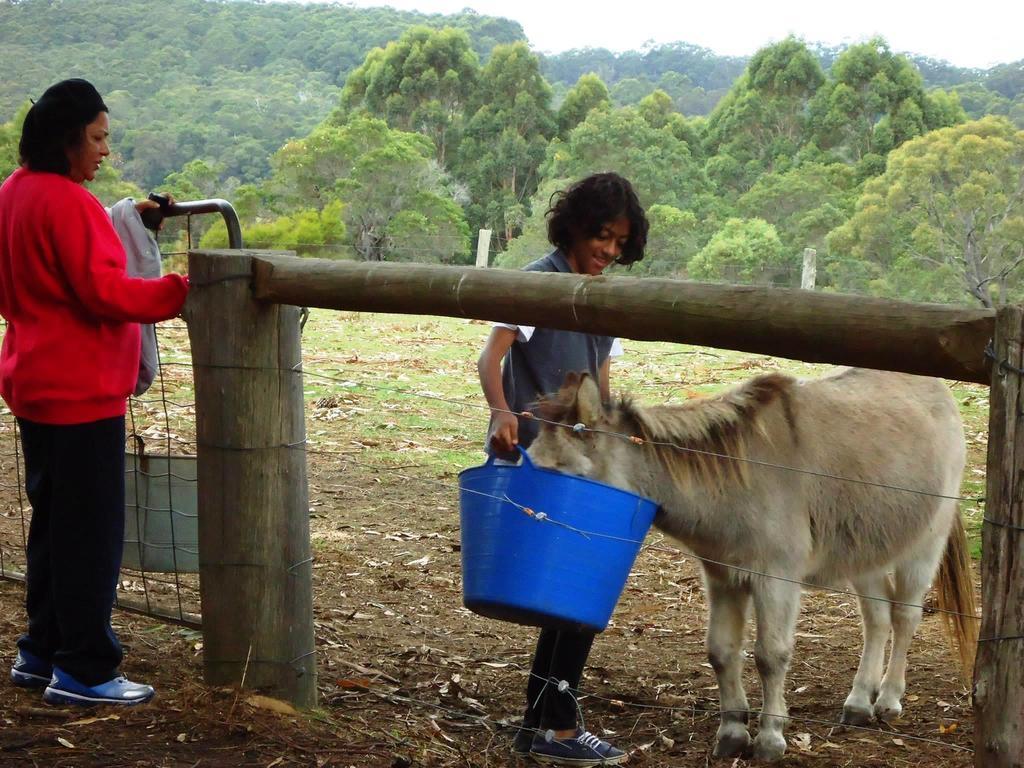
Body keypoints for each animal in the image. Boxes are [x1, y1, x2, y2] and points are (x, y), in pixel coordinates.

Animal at [532, 368, 978, 765]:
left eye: (565, 475)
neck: (734, 478)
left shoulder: (775, 580)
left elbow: (770, 655)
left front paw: (770, 738)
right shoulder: (722, 578)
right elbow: (722, 651)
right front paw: (732, 733)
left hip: (924, 546)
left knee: (904, 617)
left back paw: (887, 700)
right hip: (865, 553)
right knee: (878, 619)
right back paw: (858, 703)